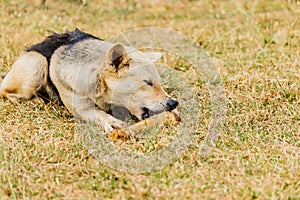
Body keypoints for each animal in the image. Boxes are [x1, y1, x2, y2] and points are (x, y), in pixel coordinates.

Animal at [0, 28, 178, 131]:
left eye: (158, 83)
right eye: (147, 83)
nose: (174, 103)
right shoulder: (82, 109)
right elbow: (99, 114)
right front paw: (111, 122)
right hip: (37, 62)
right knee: (5, 90)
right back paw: (34, 100)